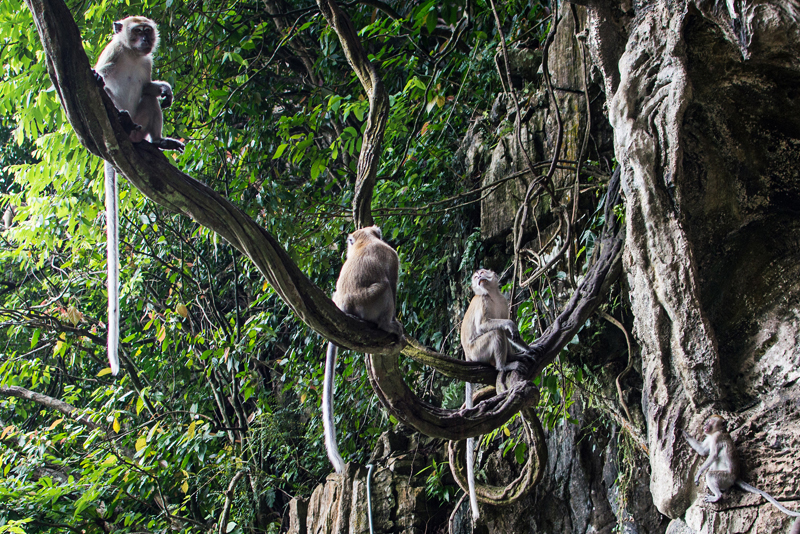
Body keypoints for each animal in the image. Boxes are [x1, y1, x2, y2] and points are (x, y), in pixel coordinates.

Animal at [93, 16, 184, 376]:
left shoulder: (144, 63)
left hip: (142, 128)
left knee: (147, 104)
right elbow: (102, 78)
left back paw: (156, 141)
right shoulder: (112, 53)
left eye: (148, 32)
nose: (145, 40)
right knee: (116, 103)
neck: (132, 56)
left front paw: (163, 88)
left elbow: (147, 88)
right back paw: (122, 119)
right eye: (137, 31)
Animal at [322, 225, 404, 474]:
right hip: (370, 301)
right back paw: (387, 325)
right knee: (385, 287)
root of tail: (344, 304)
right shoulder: (391, 255)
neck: (365, 242)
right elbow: (392, 281)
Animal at [460, 270, 528, 520]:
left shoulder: (504, 300)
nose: (479, 276)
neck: (492, 294)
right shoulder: (484, 302)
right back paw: (503, 366)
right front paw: (509, 325)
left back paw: (512, 359)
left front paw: (527, 347)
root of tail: (467, 356)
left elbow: (511, 331)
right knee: (495, 332)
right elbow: (486, 326)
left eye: (482, 273)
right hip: (479, 351)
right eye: (475, 276)